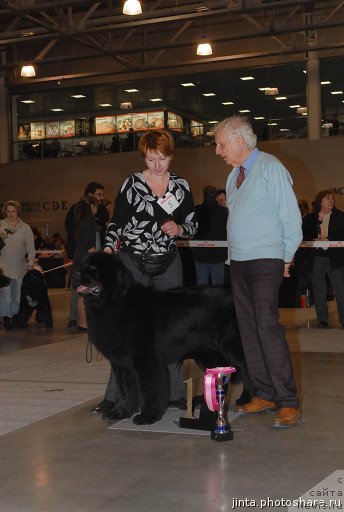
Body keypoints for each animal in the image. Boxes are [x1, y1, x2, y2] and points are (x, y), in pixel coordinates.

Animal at [76, 251, 254, 424]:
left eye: (93, 268)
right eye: (82, 265)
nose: (77, 274)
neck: (115, 301)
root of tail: (231, 295)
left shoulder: (147, 360)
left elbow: (150, 389)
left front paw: (148, 416)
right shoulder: (120, 364)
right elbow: (124, 389)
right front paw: (121, 412)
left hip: (230, 346)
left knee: (246, 367)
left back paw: (247, 398)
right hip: (207, 354)